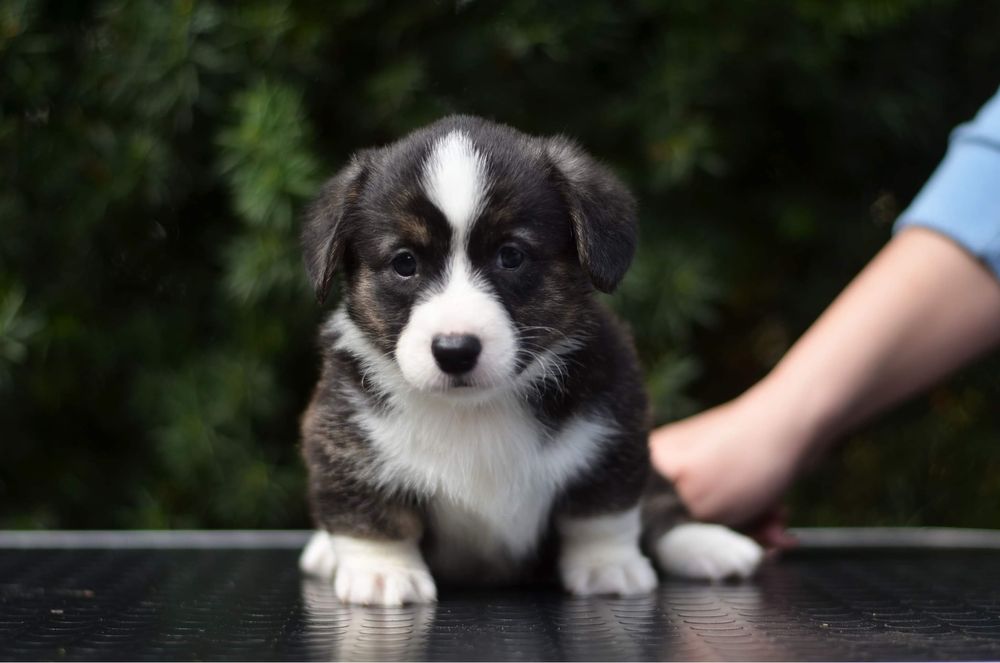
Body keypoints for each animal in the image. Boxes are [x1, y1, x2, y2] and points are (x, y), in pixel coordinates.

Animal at [296, 115, 764, 608]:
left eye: (511, 256)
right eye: (404, 263)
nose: (455, 351)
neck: (474, 411)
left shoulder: (615, 435)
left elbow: (603, 512)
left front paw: (607, 566)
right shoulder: (343, 439)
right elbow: (371, 515)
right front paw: (384, 574)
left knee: (660, 505)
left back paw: (707, 544)